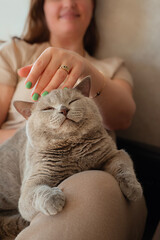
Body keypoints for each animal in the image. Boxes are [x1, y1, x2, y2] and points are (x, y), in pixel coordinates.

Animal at [0, 76, 142, 238]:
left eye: (73, 100)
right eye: (48, 109)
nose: (63, 109)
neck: (73, 150)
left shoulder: (115, 154)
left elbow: (123, 168)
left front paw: (133, 189)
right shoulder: (31, 185)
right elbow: (38, 192)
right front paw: (54, 199)